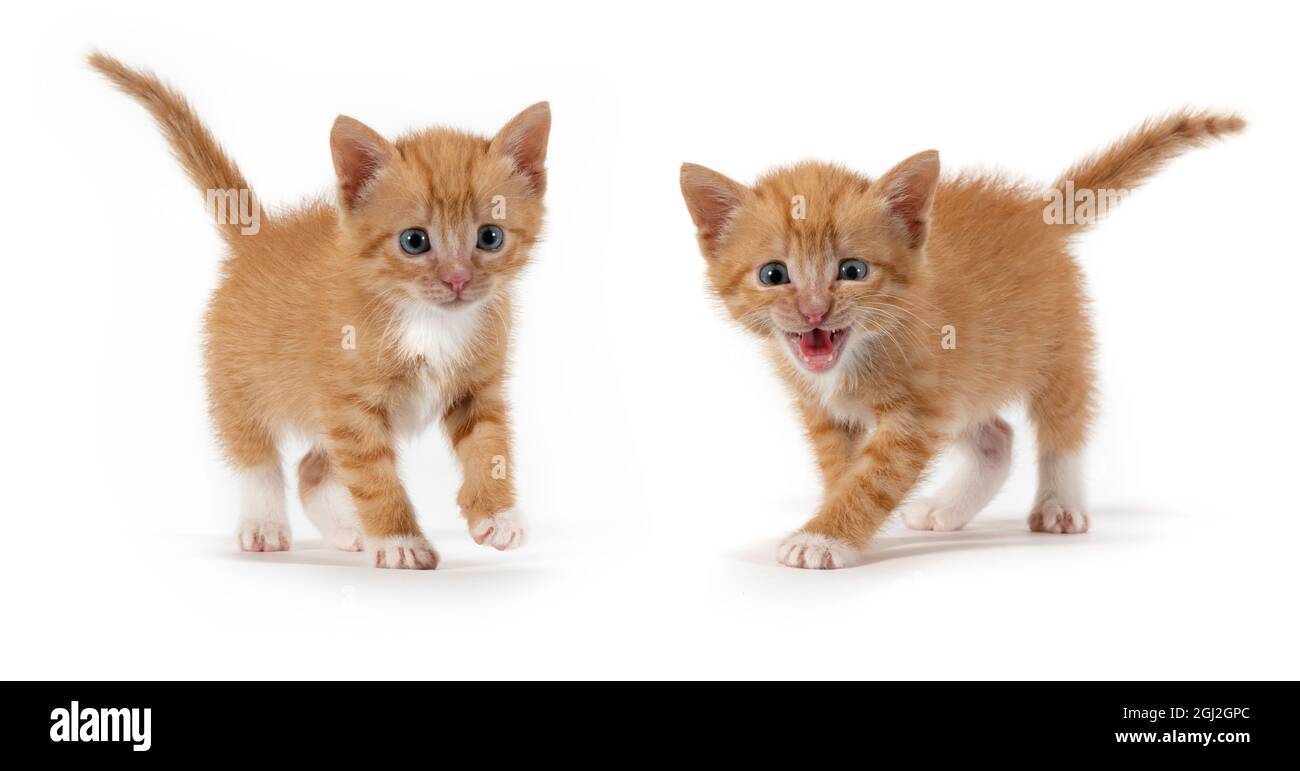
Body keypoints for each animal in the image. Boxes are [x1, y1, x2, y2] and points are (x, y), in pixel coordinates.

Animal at [89, 53, 548, 569]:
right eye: (414, 241)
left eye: (490, 236)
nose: (456, 280)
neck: (427, 319)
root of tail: (260, 241)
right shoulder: (350, 405)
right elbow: (373, 478)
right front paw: (399, 541)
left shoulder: (477, 388)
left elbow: (489, 447)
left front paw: (498, 515)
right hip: (238, 380)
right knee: (255, 455)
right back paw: (265, 524)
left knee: (312, 469)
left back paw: (349, 530)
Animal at [676, 109, 1242, 564]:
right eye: (773, 275)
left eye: (853, 270)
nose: (814, 309)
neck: (857, 356)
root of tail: (1036, 216)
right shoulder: (831, 411)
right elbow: (845, 471)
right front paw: (841, 522)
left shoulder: (913, 415)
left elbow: (873, 480)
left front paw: (823, 538)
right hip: (967, 378)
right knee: (997, 438)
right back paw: (947, 511)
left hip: (1055, 346)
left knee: (1063, 424)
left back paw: (1060, 504)